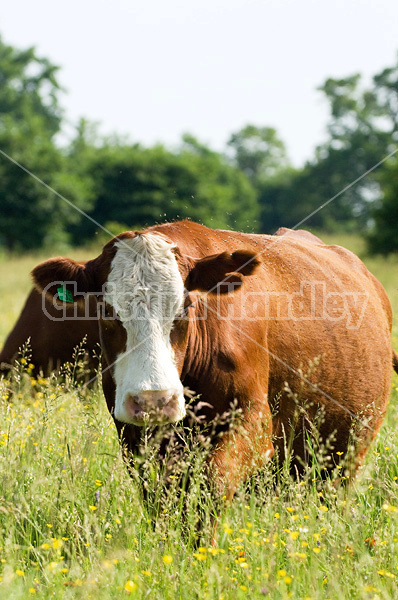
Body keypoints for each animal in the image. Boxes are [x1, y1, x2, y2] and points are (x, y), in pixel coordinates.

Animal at [31, 220, 398, 496]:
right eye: (107, 311)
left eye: (185, 308)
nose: (153, 400)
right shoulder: (135, 436)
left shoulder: (252, 421)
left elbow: (211, 482)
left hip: (346, 454)